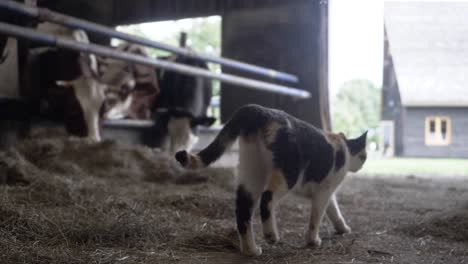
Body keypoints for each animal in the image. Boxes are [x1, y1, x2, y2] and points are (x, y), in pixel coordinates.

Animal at [174, 104, 368, 256]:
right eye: (364, 156)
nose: (362, 165)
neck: (344, 148)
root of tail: (258, 110)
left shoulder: (325, 192)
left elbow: (334, 211)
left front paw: (342, 228)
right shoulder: (324, 191)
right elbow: (316, 217)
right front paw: (313, 241)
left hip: (251, 171)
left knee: (243, 211)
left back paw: (251, 250)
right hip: (287, 175)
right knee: (266, 199)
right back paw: (271, 236)